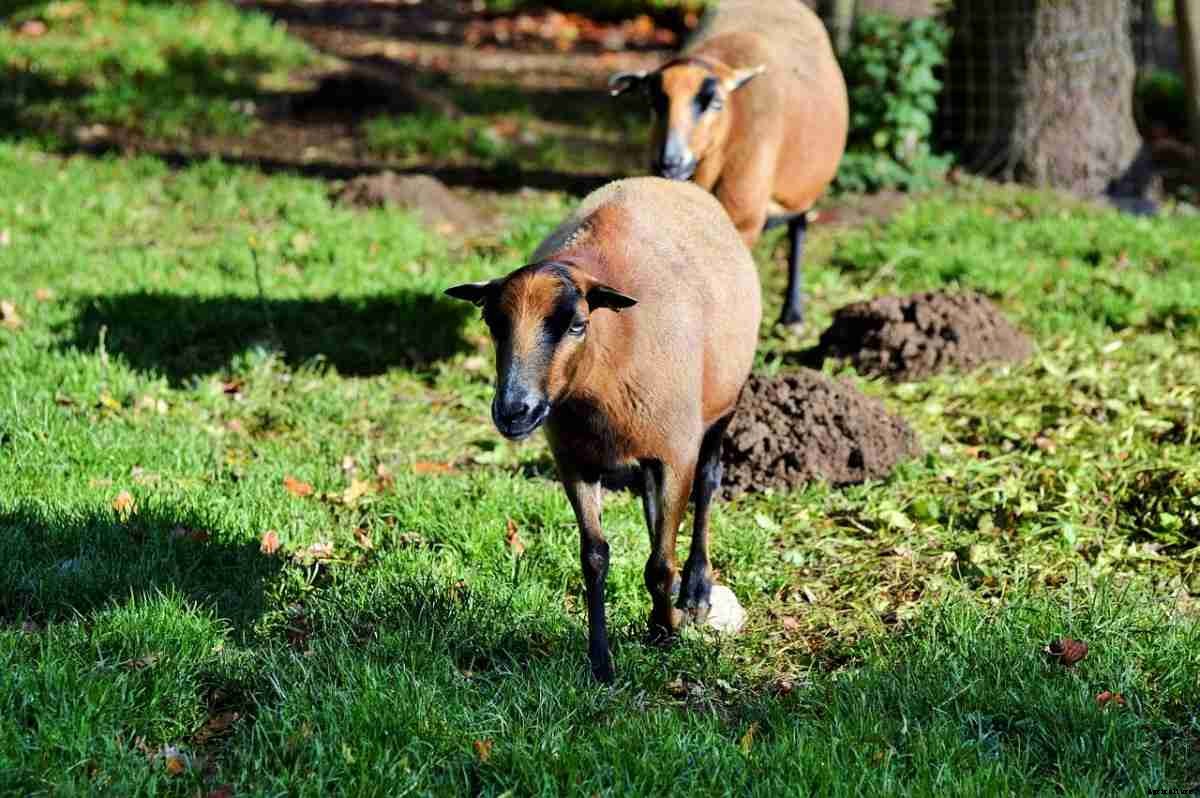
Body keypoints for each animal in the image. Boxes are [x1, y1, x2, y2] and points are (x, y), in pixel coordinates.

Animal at [445, 177, 761, 682]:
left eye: (577, 324)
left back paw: (696, 588)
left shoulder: (676, 452)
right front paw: (601, 661)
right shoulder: (575, 460)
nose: (514, 411)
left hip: (722, 406)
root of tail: (669, 182)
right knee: (653, 506)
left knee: (709, 485)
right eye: (493, 323)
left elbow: (660, 564)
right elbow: (594, 556)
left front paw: (665, 630)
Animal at [610, 0, 848, 328]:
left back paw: (792, 315)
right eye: (653, 102)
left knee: (798, 226)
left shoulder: (743, 218)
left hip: (800, 187)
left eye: (715, 103)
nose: (670, 161)